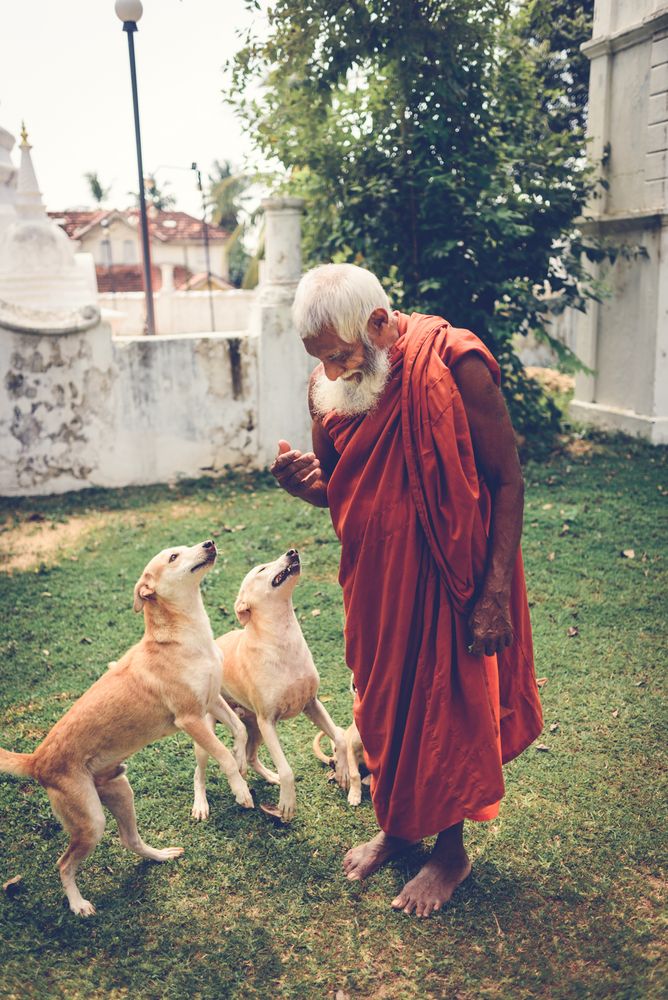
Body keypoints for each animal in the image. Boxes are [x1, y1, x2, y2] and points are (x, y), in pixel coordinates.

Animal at [0, 540, 253, 916]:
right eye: (174, 557)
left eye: (186, 546)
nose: (209, 543)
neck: (182, 638)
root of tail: (37, 761)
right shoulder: (191, 718)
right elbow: (220, 754)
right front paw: (240, 789)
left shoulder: (212, 702)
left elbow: (239, 731)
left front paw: (241, 759)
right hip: (91, 820)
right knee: (64, 863)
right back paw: (77, 904)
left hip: (120, 791)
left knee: (129, 839)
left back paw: (160, 856)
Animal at [190, 548, 350, 820]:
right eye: (261, 569)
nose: (292, 551)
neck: (282, 638)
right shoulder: (268, 721)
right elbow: (287, 769)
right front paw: (287, 803)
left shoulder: (312, 704)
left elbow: (339, 736)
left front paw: (343, 772)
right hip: (212, 736)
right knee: (199, 773)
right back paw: (201, 804)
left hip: (254, 727)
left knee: (250, 756)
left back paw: (266, 775)